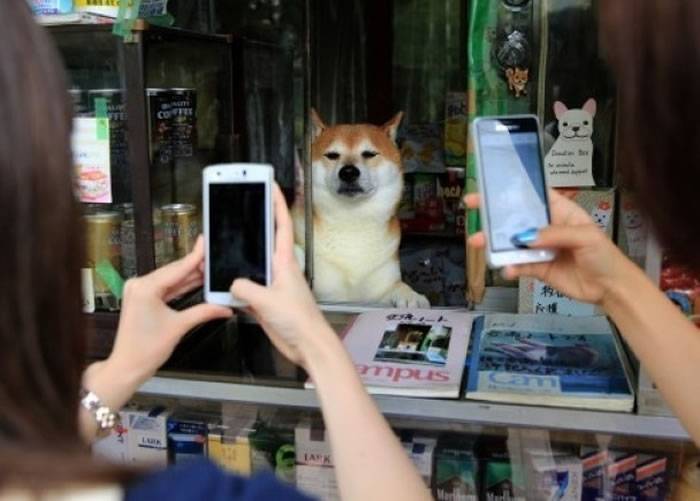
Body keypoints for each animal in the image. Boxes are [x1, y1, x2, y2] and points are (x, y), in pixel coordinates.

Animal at [292, 110, 430, 306]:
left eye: (369, 154)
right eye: (332, 155)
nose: (348, 172)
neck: (353, 224)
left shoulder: (379, 293)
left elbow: (398, 286)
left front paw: (412, 295)